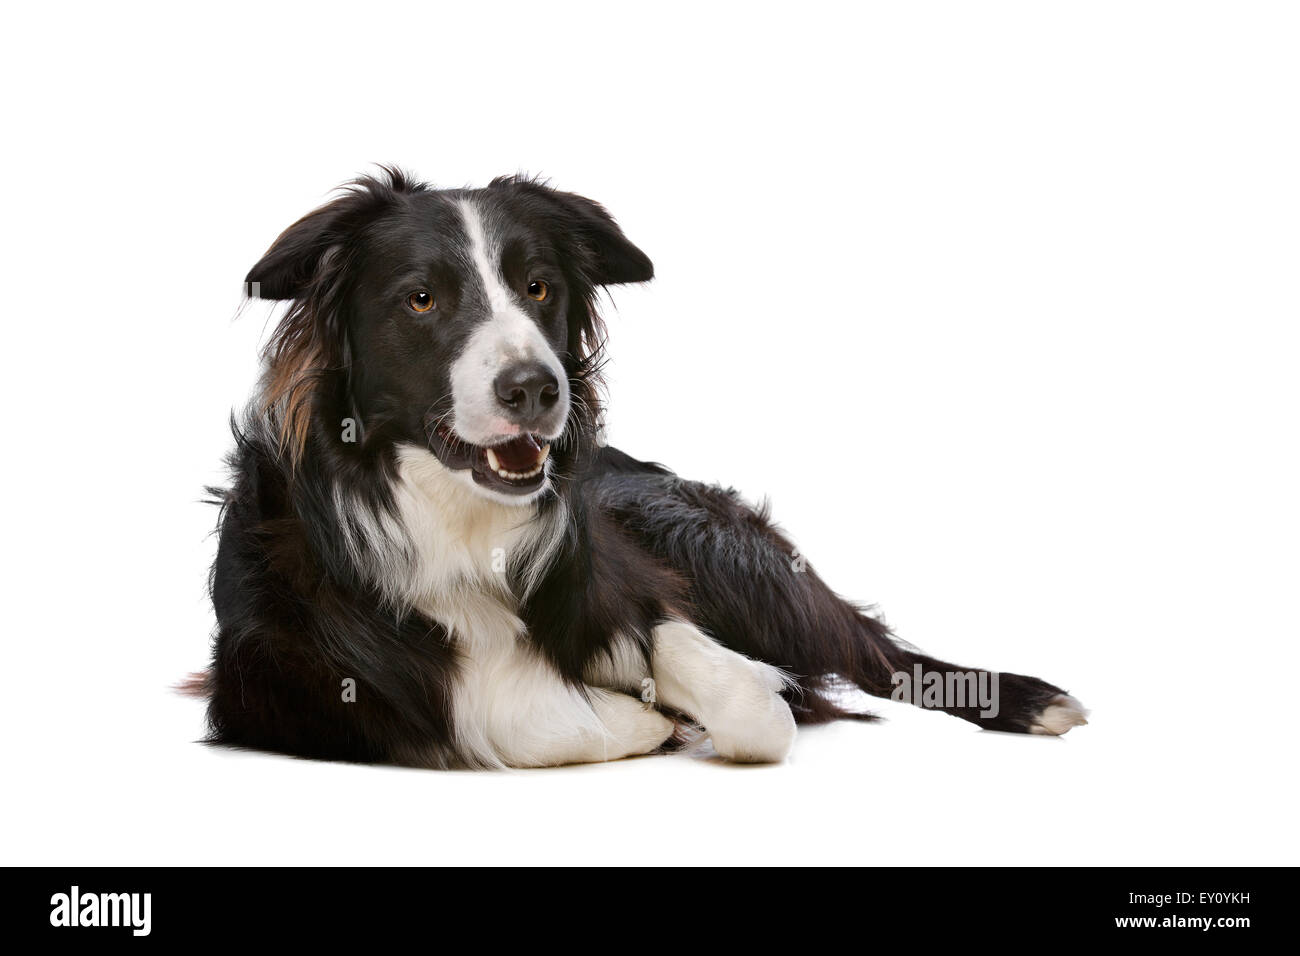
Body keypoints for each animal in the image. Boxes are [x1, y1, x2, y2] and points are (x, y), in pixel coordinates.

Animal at [195, 170, 1086, 770]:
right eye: (421, 299)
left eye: (538, 287)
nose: (535, 387)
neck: (459, 519)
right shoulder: (285, 690)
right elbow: (523, 716)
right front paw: (641, 719)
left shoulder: (632, 582)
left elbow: (741, 696)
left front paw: (714, 701)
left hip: (711, 541)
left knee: (875, 651)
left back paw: (1024, 698)